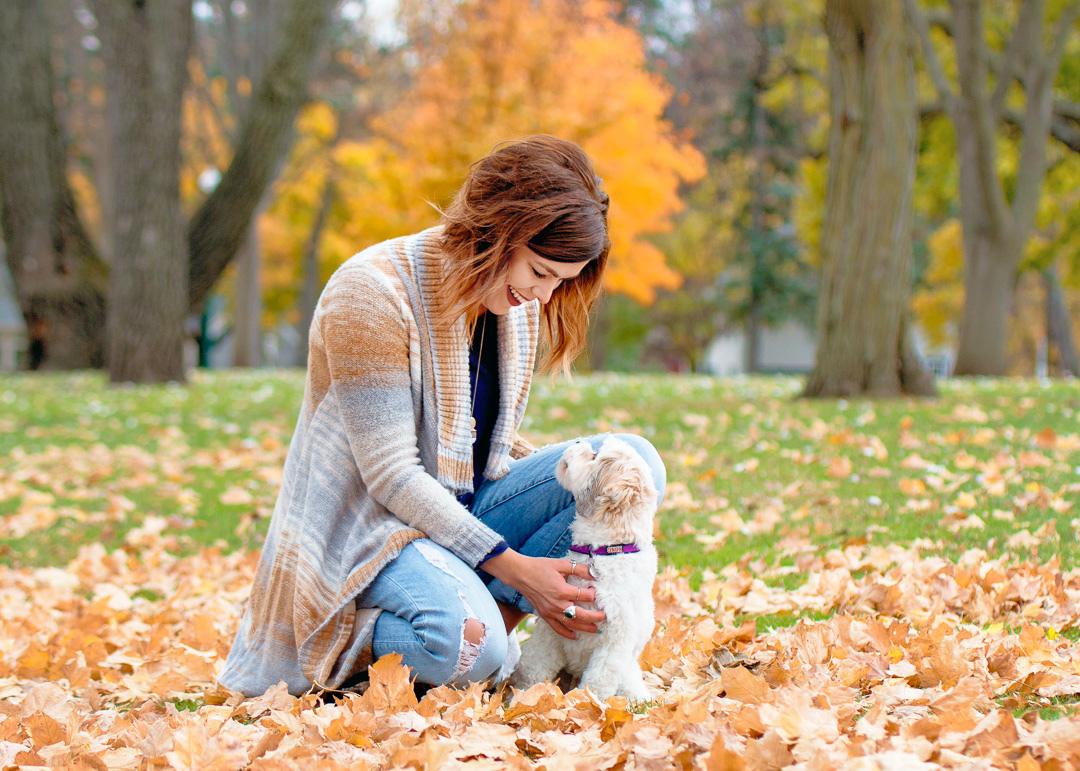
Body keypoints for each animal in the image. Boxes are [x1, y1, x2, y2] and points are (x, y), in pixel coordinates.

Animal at [511, 436, 660, 699]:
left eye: (594, 456)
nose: (579, 441)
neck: (600, 551)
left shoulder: (614, 643)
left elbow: (598, 682)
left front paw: (586, 704)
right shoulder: (550, 630)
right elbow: (534, 667)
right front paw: (527, 697)